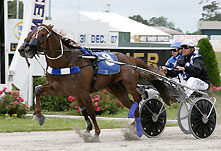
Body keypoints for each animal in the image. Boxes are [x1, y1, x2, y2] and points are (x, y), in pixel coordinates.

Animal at [18, 24, 172, 139]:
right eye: (31, 32)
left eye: (42, 35)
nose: (26, 49)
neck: (67, 61)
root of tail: (130, 59)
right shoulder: (63, 89)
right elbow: (38, 89)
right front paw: (39, 116)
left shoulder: (83, 92)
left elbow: (91, 112)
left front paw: (96, 133)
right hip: (117, 89)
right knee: (132, 104)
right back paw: (135, 125)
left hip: (129, 85)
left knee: (138, 100)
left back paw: (144, 122)